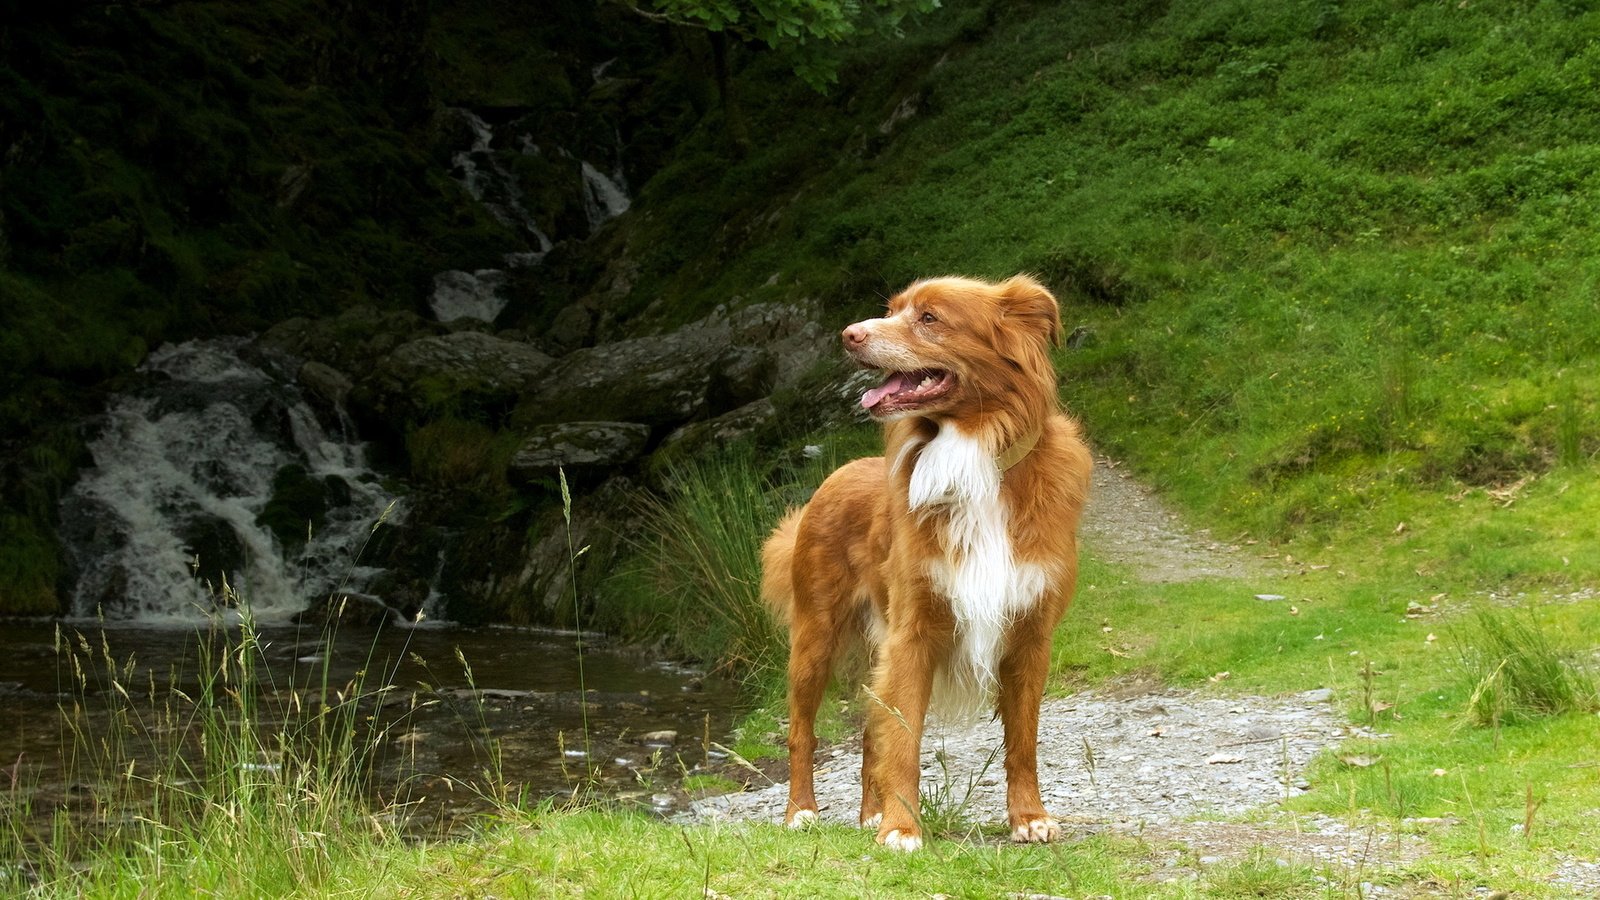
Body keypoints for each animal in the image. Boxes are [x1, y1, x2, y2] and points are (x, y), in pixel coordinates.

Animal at [758, 272, 1088, 845]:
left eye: (929, 318)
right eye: (891, 310)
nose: (849, 334)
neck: (974, 455)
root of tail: (835, 475)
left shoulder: (1031, 632)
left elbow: (1023, 740)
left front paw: (1029, 817)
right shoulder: (914, 629)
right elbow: (905, 736)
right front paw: (902, 828)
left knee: (871, 731)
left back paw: (868, 813)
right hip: (814, 637)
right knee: (803, 732)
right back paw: (801, 812)